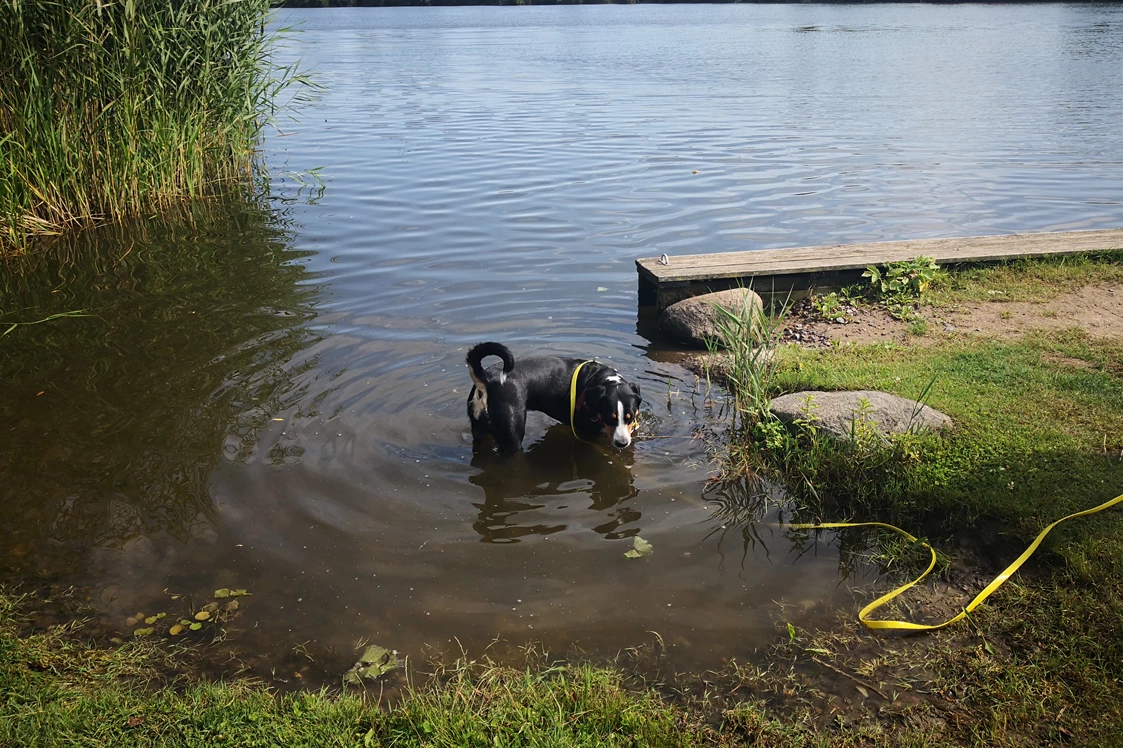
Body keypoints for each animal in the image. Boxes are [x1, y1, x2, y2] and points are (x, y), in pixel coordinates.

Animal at [464, 341, 642, 451]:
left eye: (630, 417)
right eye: (610, 417)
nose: (622, 443)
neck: (599, 379)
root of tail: (486, 378)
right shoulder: (588, 432)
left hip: (479, 430)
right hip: (512, 435)